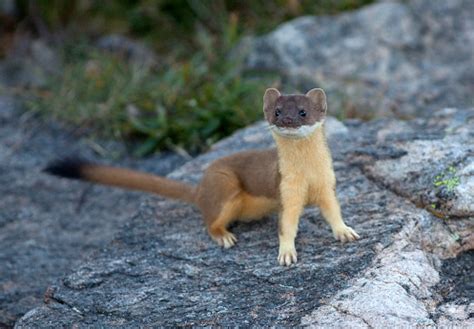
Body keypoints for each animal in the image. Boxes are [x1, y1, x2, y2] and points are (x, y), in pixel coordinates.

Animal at [47, 88, 360, 266]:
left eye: (303, 111)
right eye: (276, 110)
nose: (285, 121)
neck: (307, 173)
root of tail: (199, 187)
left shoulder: (327, 184)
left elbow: (333, 211)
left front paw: (345, 232)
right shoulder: (286, 189)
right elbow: (286, 225)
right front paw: (286, 254)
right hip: (225, 184)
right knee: (210, 222)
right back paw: (224, 236)